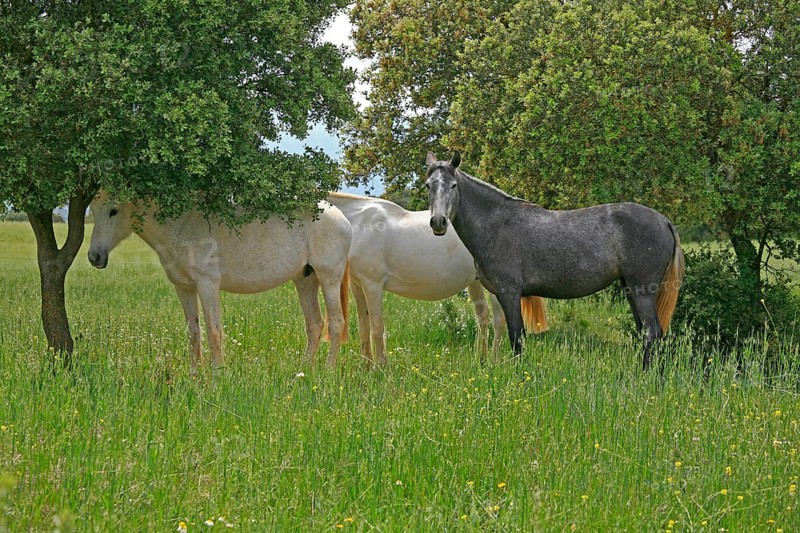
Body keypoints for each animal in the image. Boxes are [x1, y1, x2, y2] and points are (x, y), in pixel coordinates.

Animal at [88, 190, 352, 372]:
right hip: (305, 280)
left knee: (335, 324)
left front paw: (217, 376)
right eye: (93, 209)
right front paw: (195, 375)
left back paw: (327, 371)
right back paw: (303, 371)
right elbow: (193, 332)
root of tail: (341, 217)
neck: (182, 226)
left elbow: (214, 332)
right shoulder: (184, 288)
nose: (94, 257)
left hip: (328, 278)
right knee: (315, 325)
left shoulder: (208, 285)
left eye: (113, 210)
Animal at [326, 192, 547, 366]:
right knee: (483, 317)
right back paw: (481, 360)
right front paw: (366, 367)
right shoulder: (358, 286)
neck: (358, 222)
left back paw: (494, 361)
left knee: (499, 320)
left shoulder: (373, 285)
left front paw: (381, 367)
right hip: (475, 282)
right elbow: (364, 327)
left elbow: (377, 327)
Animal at [425, 152, 684, 370]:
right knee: (647, 334)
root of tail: (663, 220)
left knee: (652, 332)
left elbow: (516, 337)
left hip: (642, 290)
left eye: (453, 185)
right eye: (428, 185)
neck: (496, 225)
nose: (438, 222)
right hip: (631, 289)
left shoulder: (509, 293)